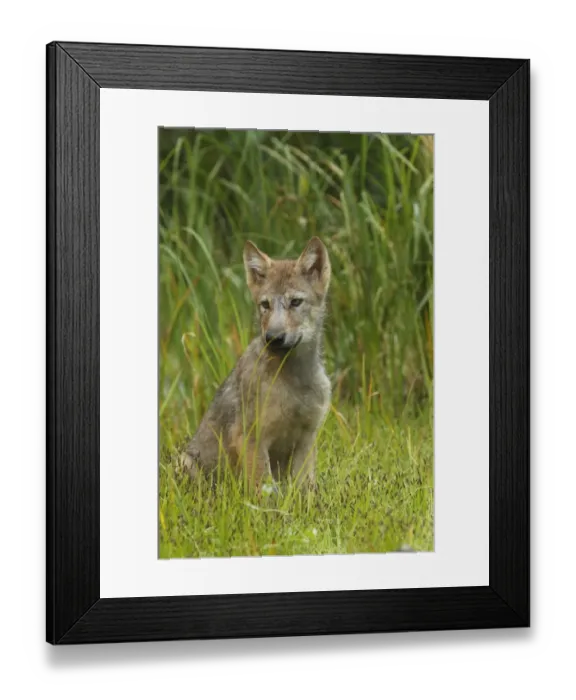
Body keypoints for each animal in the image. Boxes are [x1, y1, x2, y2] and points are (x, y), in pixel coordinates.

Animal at [182, 237, 332, 489]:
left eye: (295, 302)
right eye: (265, 305)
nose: (272, 337)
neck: (295, 381)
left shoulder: (307, 438)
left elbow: (303, 489)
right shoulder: (252, 438)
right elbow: (264, 491)